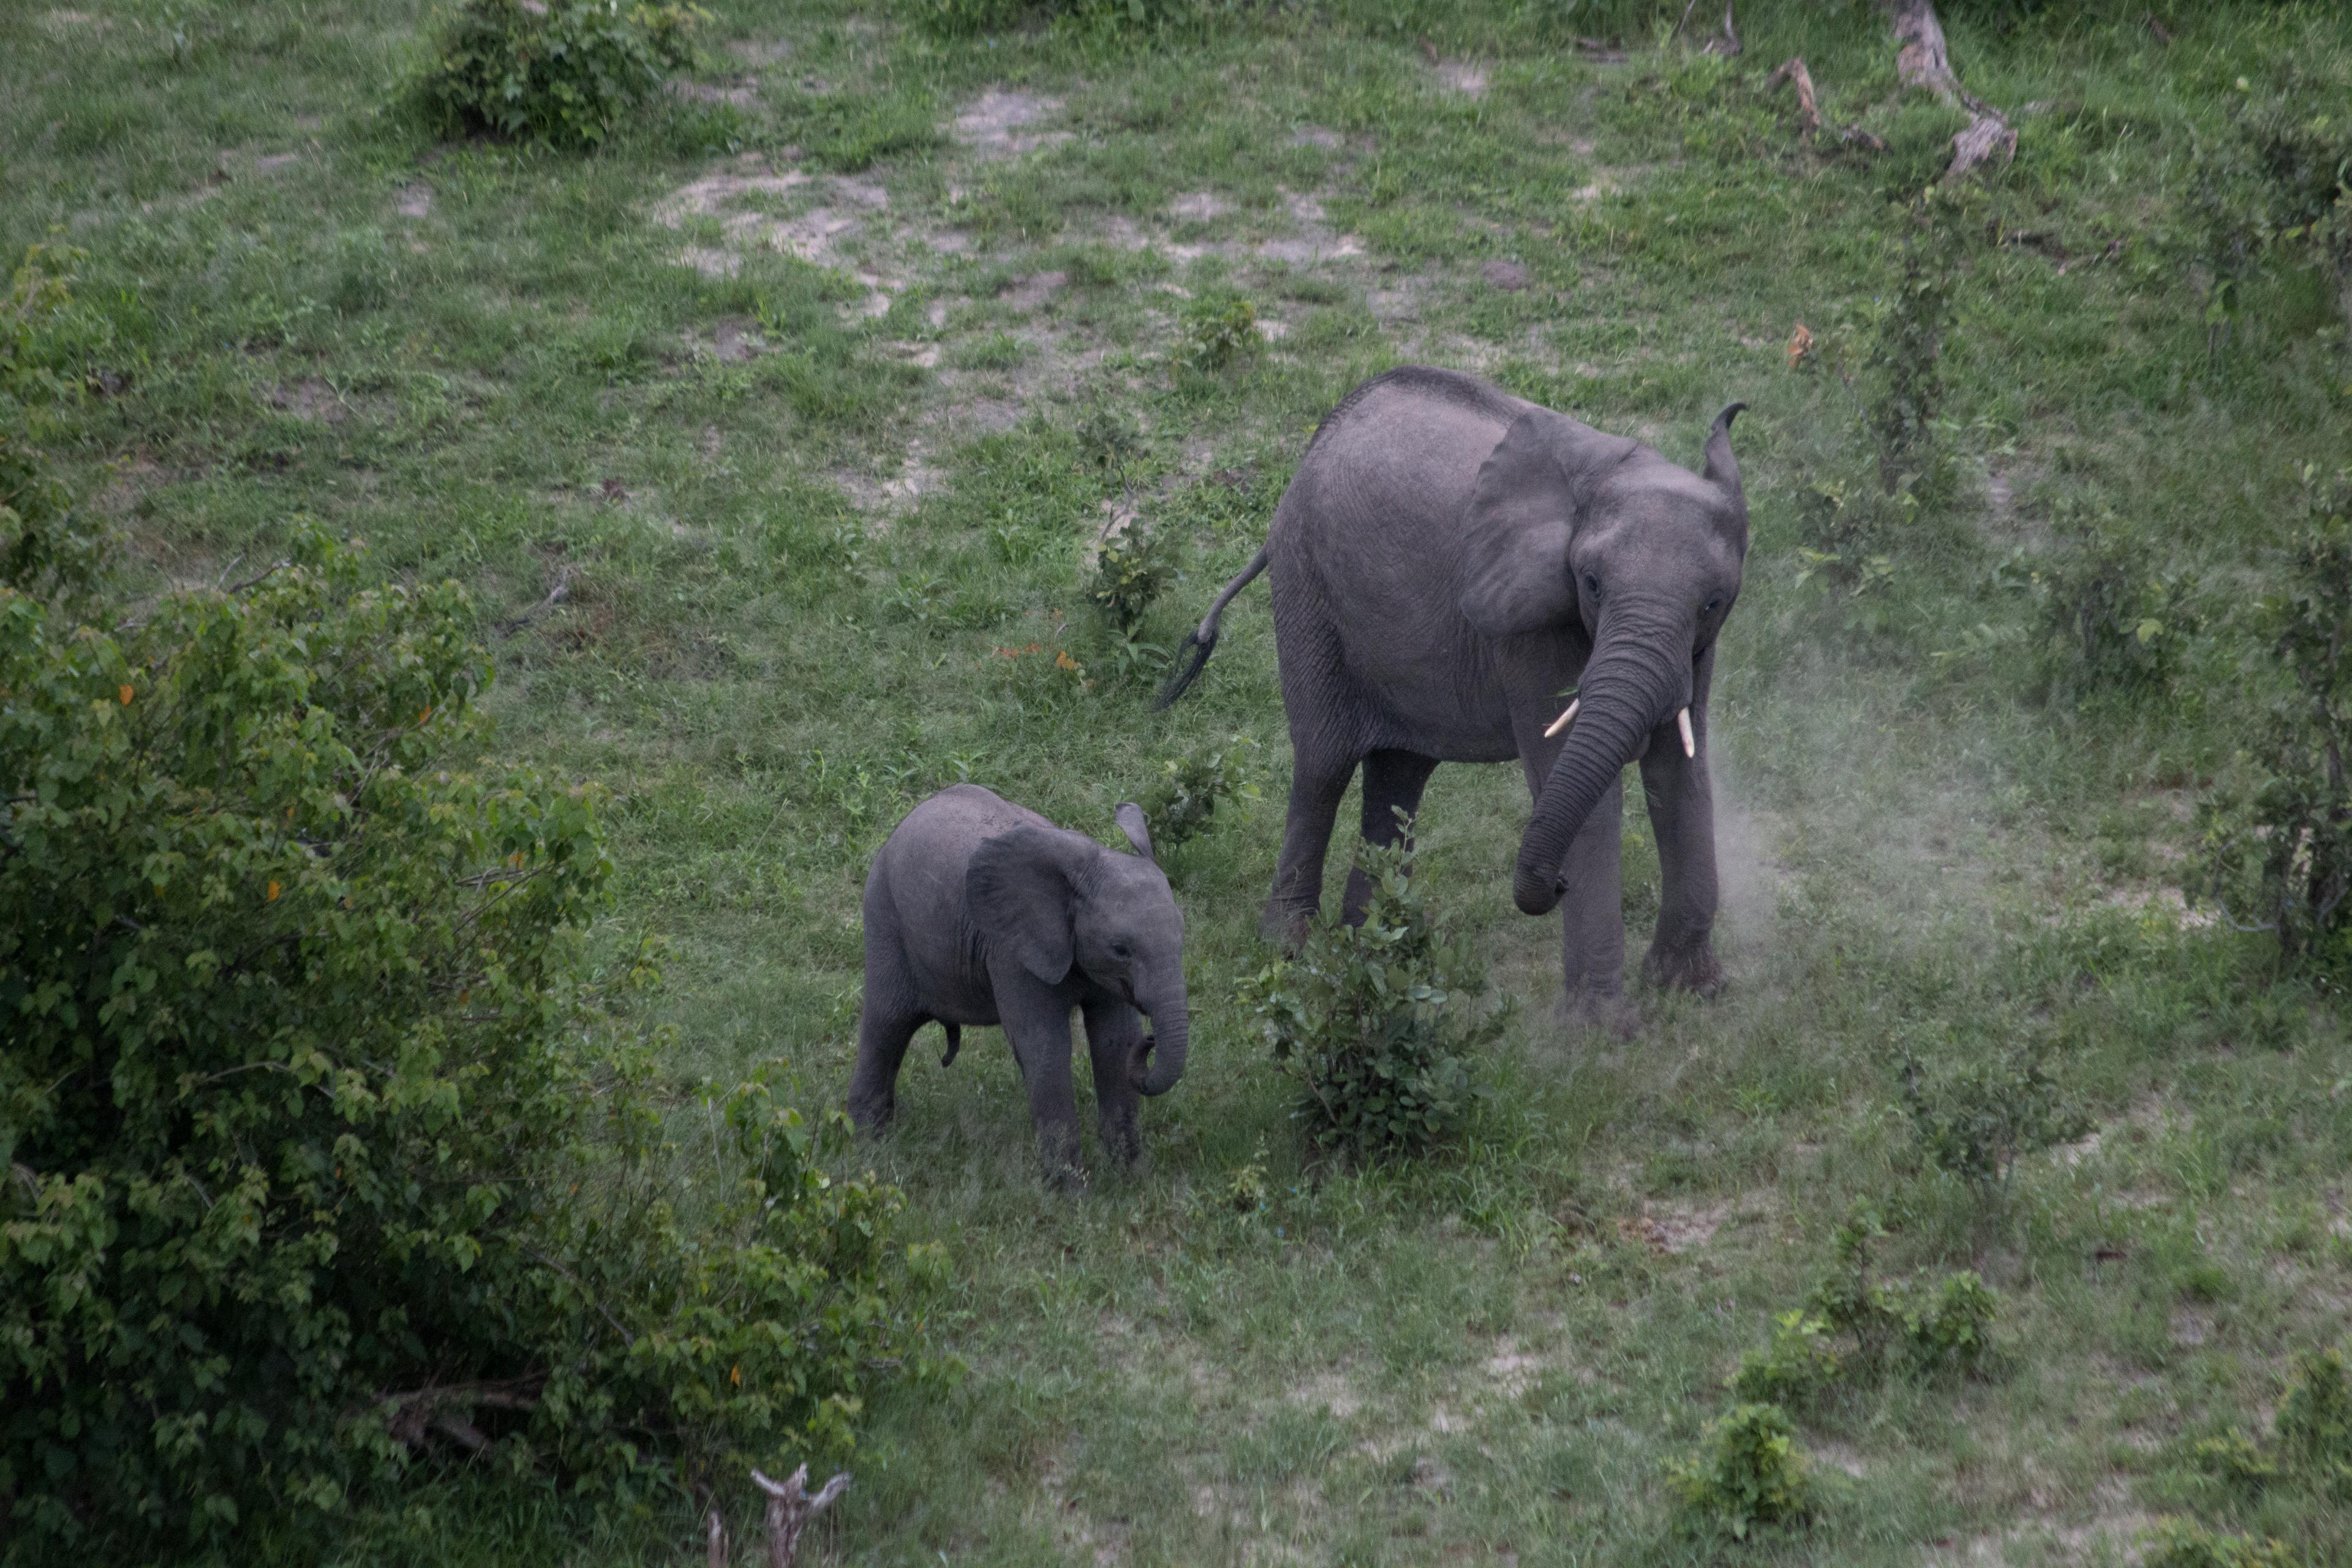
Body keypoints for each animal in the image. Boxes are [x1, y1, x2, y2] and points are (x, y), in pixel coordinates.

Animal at [847, 784, 1190, 1185]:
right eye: (1121, 949)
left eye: (1182, 935)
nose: (1152, 1040)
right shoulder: (1012, 949)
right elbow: (1045, 1047)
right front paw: (1071, 1193)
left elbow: (1115, 1041)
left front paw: (1130, 1180)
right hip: (885, 915)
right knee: (887, 1024)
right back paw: (868, 1145)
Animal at [1158, 365, 1748, 1021]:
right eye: (1591, 584)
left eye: (1713, 602)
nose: (1555, 883)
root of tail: (1319, 441)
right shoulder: (1528, 624)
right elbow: (1587, 793)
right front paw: (1603, 1033)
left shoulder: (1698, 649)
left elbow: (1682, 778)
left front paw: (1691, 992)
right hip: (1305, 583)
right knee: (1323, 767)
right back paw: (1290, 952)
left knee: (1398, 775)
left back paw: (1376, 952)